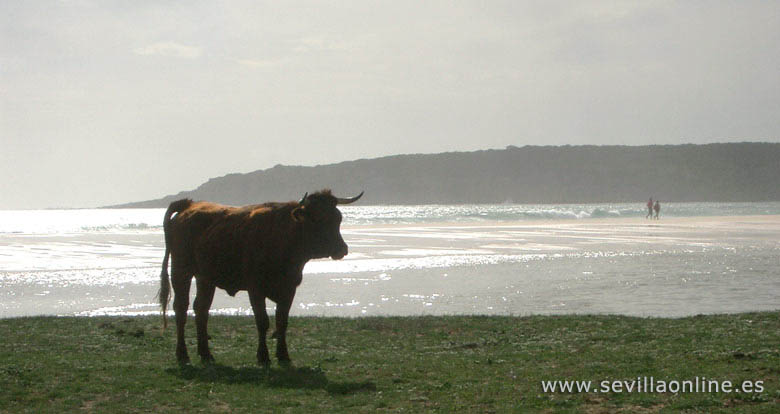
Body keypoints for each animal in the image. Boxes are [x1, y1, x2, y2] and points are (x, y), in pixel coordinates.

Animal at [160, 189, 368, 364]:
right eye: (318, 219)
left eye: (338, 218)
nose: (342, 249)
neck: (284, 239)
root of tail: (189, 205)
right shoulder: (255, 289)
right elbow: (263, 321)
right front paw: (263, 356)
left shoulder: (289, 289)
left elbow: (282, 321)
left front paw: (283, 355)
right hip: (181, 271)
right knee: (181, 308)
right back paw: (182, 354)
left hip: (205, 278)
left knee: (201, 309)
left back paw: (206, 353)